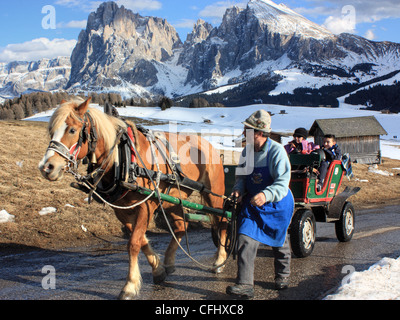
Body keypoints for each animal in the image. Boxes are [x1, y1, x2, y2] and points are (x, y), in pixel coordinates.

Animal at [39, 97, 230, 300]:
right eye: (51, 131)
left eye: (72, 130)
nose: (47, 167)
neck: (123, 159)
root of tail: (210, 145)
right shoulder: (121, 210)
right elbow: (141, 240)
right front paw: (158, 269)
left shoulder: (146, 205)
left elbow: (133, 243)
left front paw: (129, 286)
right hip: (172, 200)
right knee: (180, 227)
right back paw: (170, 261)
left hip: (213, 195)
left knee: (223, 222)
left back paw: (220, 260)